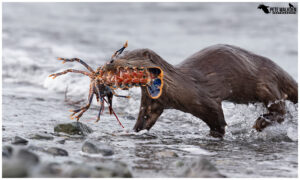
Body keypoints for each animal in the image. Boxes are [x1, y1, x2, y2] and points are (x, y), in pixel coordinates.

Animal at [103, 44, 298, 137]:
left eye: (128, 57)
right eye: (117, 54)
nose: (110, 62)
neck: (176, 86)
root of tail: (277, 69)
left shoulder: (205, 99)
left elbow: (218, 120)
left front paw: (215, 134)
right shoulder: (153, 102)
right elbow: (145, 119)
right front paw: (132, 132)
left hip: (266, 84)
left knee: (281, 110)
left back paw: (260, 123)